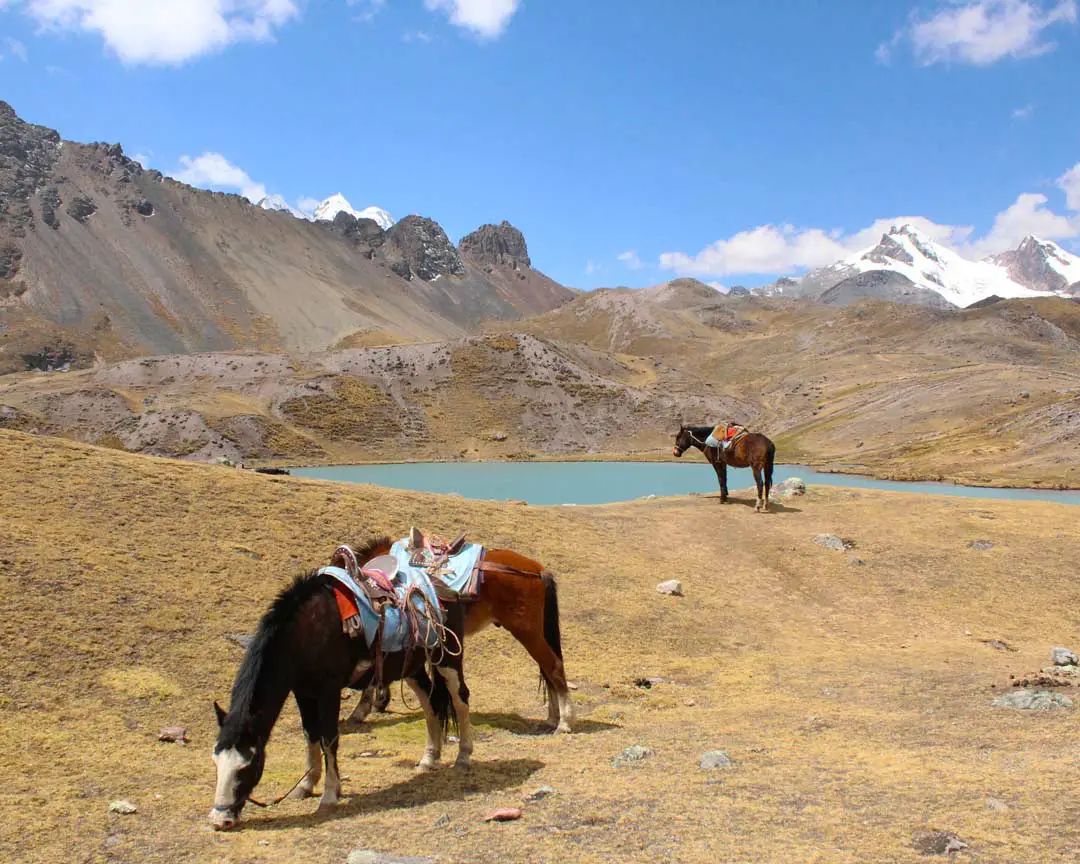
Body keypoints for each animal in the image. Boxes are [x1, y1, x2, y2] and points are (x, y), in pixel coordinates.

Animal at [208, 565, 466, 829]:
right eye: (216, 762)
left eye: (247, 766)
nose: (220, 820)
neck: (305, 634)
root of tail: (445, 590)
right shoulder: (303, 692)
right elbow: (310, 735)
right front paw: (305, 785)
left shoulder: (328, 690)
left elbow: (329, 739)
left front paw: (330, 794)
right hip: (411, 668)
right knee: (430, 702)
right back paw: (429, 759)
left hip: (448, 660)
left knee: (460, 698)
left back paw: (463, 756)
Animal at [343, 535, 574, 734]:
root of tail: (538, 570)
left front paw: (361, 710)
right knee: (547, 668)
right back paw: (553, 718)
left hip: (527, 631)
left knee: (553, 666)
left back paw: (564, 723)